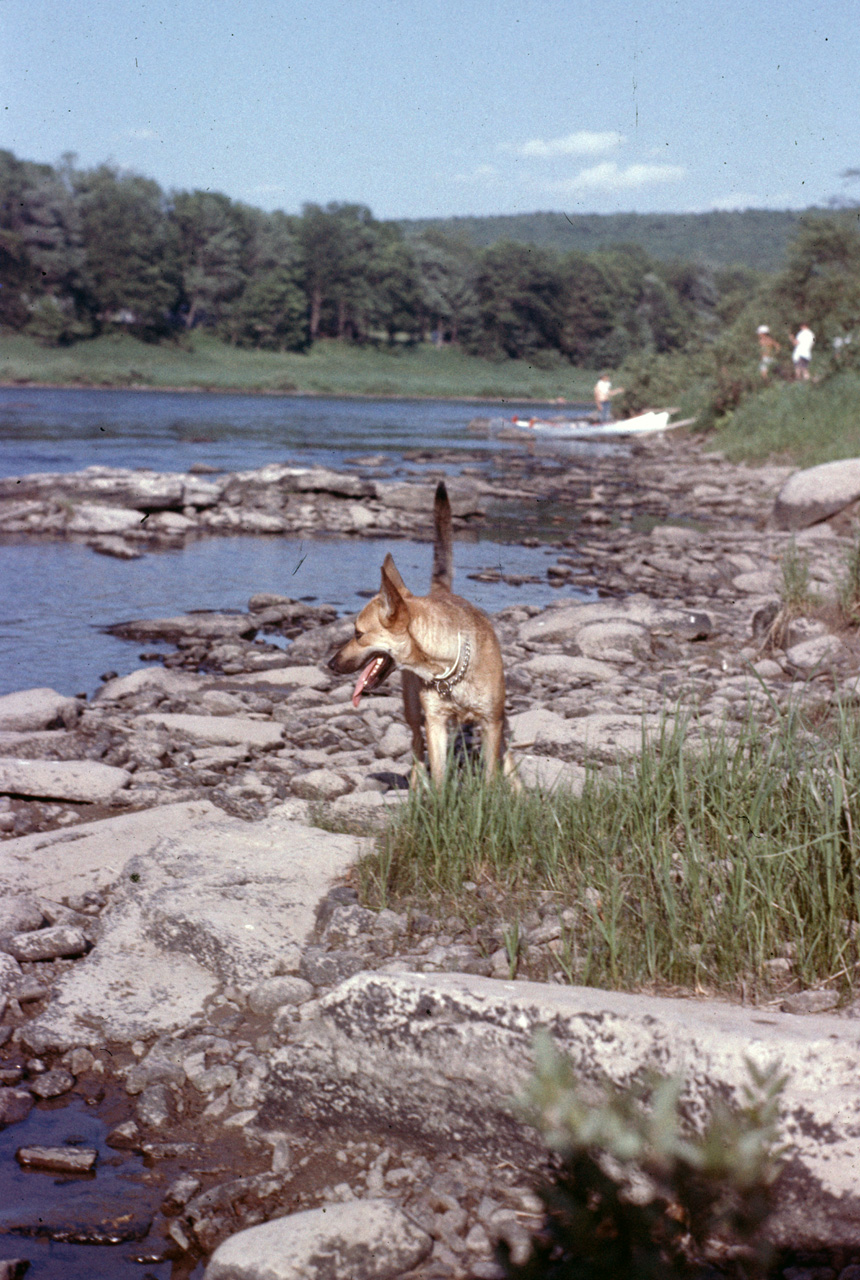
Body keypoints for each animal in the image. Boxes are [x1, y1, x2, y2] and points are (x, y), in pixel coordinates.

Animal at [330, 478, 517, 778]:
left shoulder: (492, 723)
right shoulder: (435, 724)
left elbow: (491, 775)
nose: (331, 664)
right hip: (413, 712)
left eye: (358, 634)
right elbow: (439, 775)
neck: (450, 667)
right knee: (417, 750)